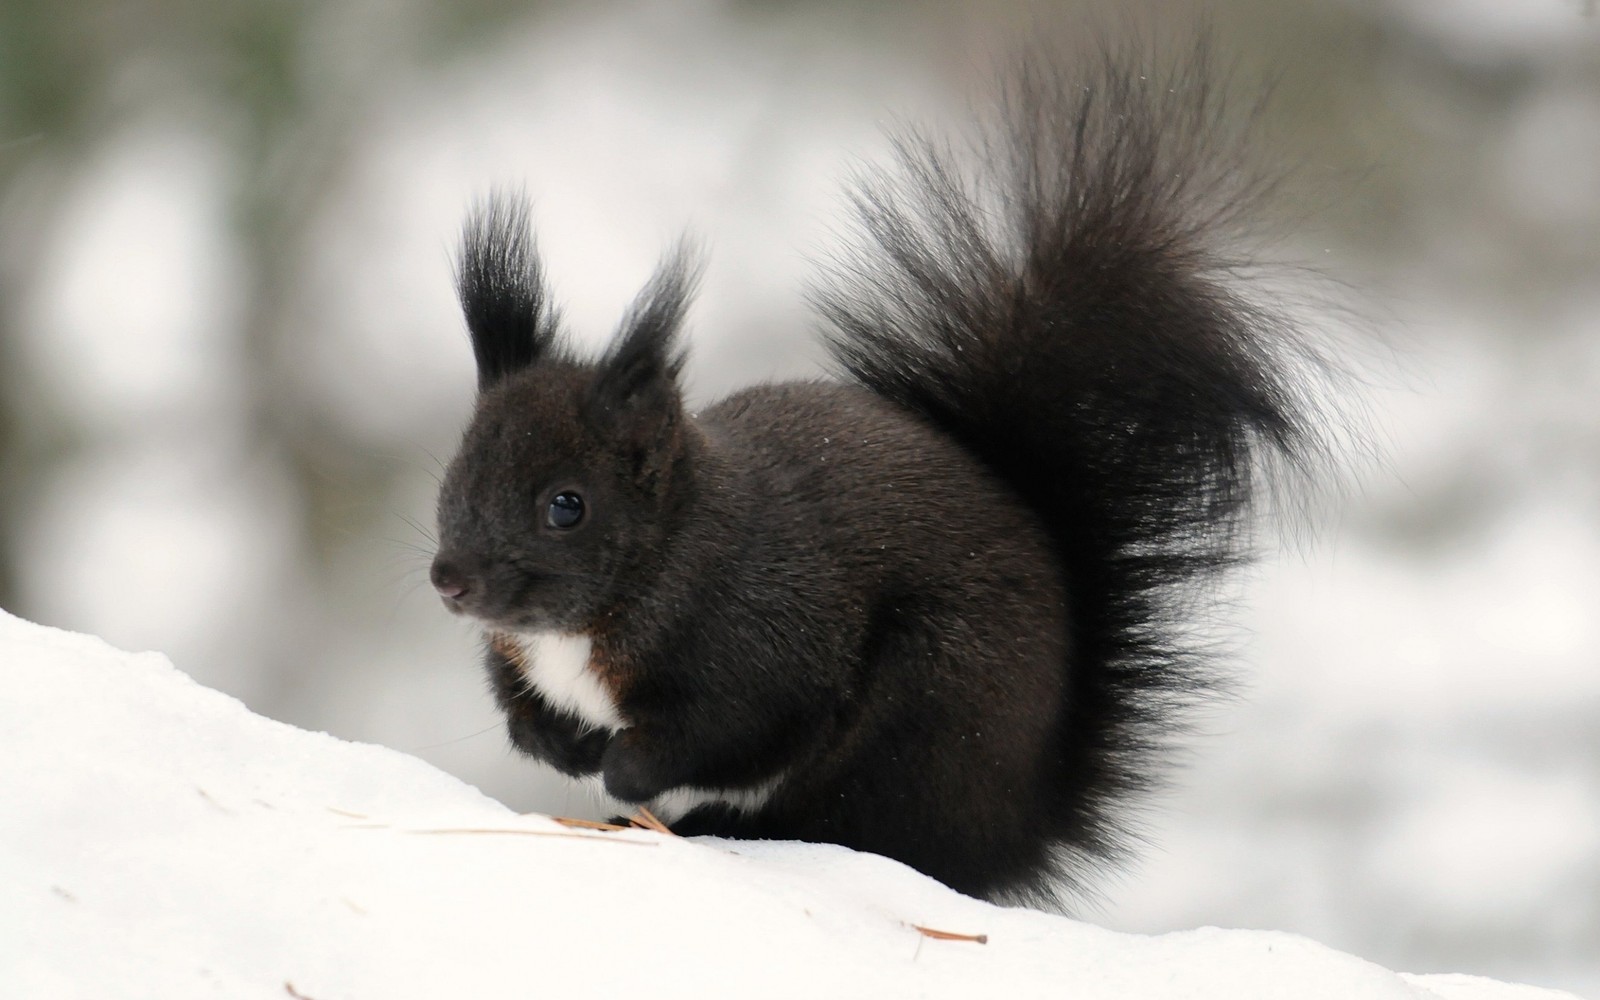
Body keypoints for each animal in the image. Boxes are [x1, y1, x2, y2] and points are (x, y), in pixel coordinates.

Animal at [432, 44, 1331, 902]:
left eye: (567, 506)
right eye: (454, 477)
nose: (450, 581)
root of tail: (1023, 824)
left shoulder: (766, 644)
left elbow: (728, 732)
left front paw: (621, 768)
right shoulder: (522, 657)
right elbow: (520, 708)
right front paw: (560, 744)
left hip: (923, 716)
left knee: (854, 825)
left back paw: (713, 824)